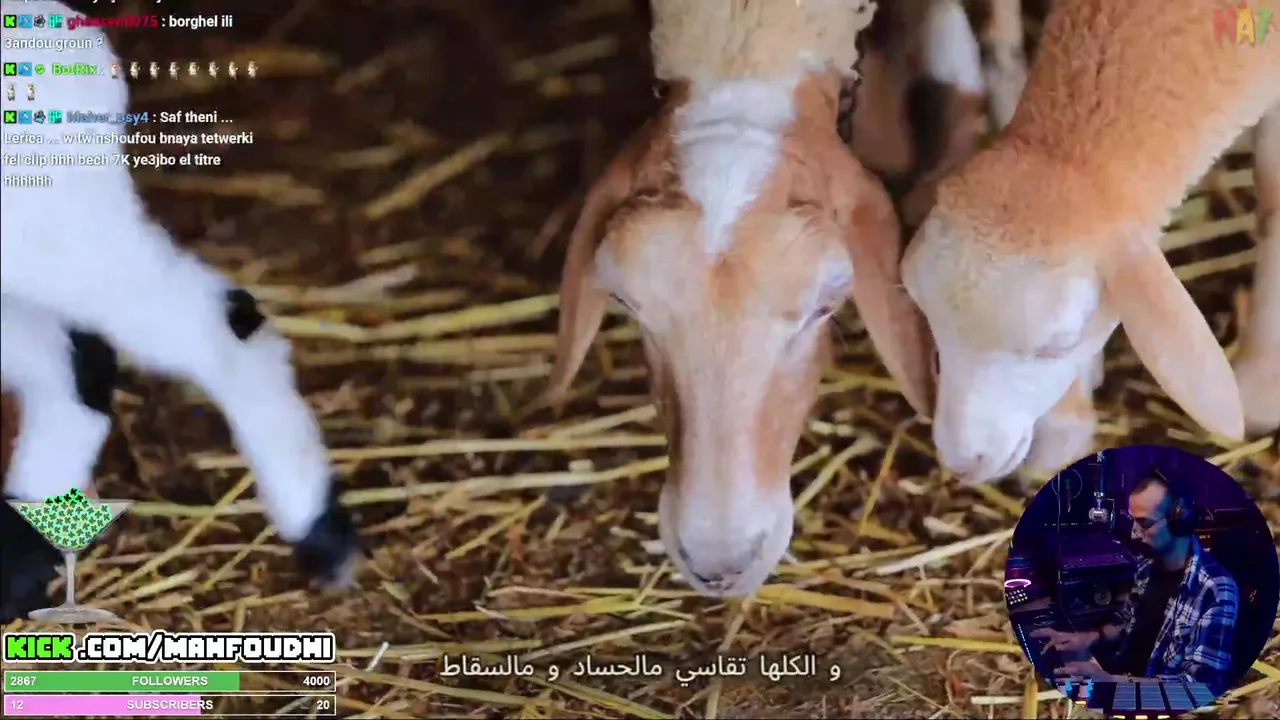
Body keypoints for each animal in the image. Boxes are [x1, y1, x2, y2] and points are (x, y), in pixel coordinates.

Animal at [900, 0, 1280, 485]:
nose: (963, 461)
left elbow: (1273, 191)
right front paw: (1063, 429)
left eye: (1060, 343)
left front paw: (1262, 384)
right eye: (928, 315)